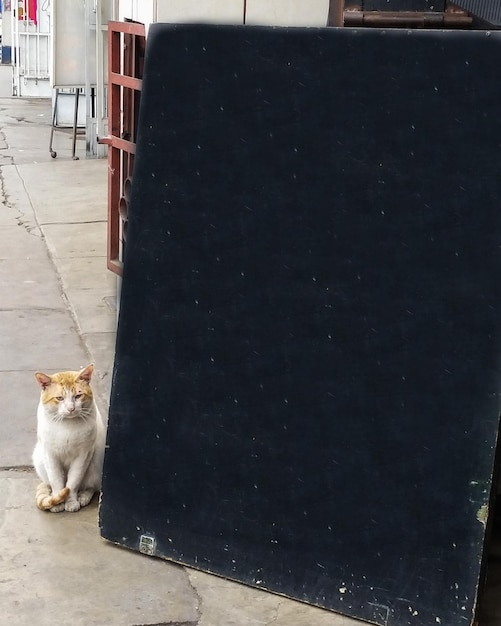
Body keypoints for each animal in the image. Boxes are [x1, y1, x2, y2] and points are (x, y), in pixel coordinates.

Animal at [32, 360, 105, 512]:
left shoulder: (83, 456)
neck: (66, 426)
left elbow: (73, 482)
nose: (71, 408)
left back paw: (83, 497)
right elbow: (56, 481)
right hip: (39, 458)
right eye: (59, 398)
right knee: (49, 483)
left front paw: (71, 502)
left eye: (78, 396)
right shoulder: (50, 455)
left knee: (90, 486)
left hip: (97, 461)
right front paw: (58, 502)